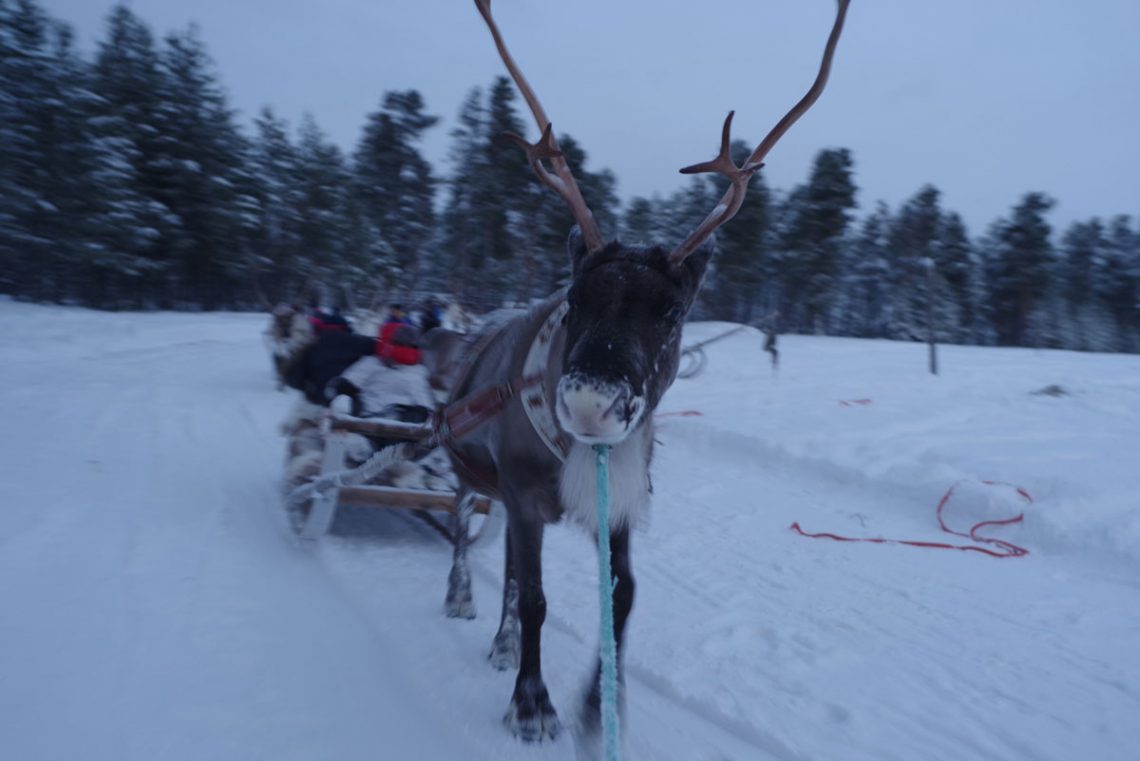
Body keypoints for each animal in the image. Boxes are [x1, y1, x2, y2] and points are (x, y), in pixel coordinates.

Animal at [434, 0, 851, 744]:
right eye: (574, 298)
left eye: (673, 309)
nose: (590, 403)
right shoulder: (525, 492)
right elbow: (537, 596)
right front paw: (533, 705)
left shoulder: (619, 501)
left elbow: (622, 594)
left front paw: (600, 703)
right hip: (469, 464)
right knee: (462, 526)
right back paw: (463, 601)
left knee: (504, 561)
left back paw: (504, 643)